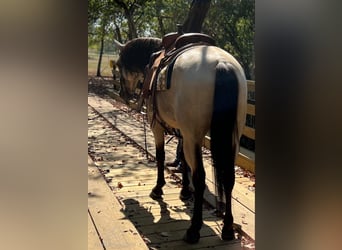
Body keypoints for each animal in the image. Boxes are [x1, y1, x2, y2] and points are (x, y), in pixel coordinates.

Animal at [113, 34, 247, 243]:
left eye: (119, 65)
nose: (122, 93)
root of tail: (222, 64)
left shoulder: (157, 126)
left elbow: (160, 156)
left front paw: (158, 188)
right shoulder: (183, 133)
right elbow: (184, 160)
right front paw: (184, 191)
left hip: (195, 136)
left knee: (200, 177)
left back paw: (194, 229)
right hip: (233, 137)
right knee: (228, 177)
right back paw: (227, 229)